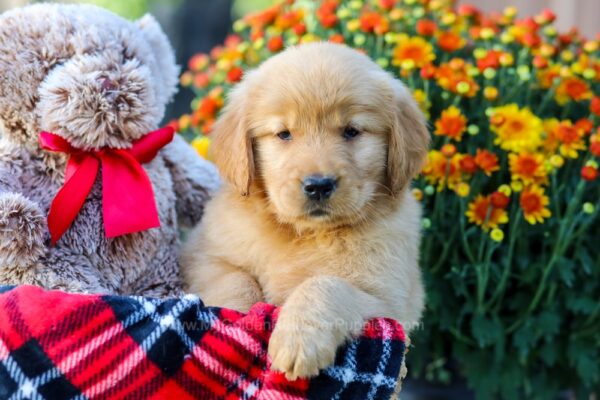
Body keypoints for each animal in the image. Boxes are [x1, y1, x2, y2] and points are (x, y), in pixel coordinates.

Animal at [180, 42, 428, 380]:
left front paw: (297, 341)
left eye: (352, 131)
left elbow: (326, 285)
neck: (304, 233)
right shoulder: (204, 257)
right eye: (284, 134)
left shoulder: (390, 299)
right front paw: (235, 326)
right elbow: (236, 283)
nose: (319, 185)